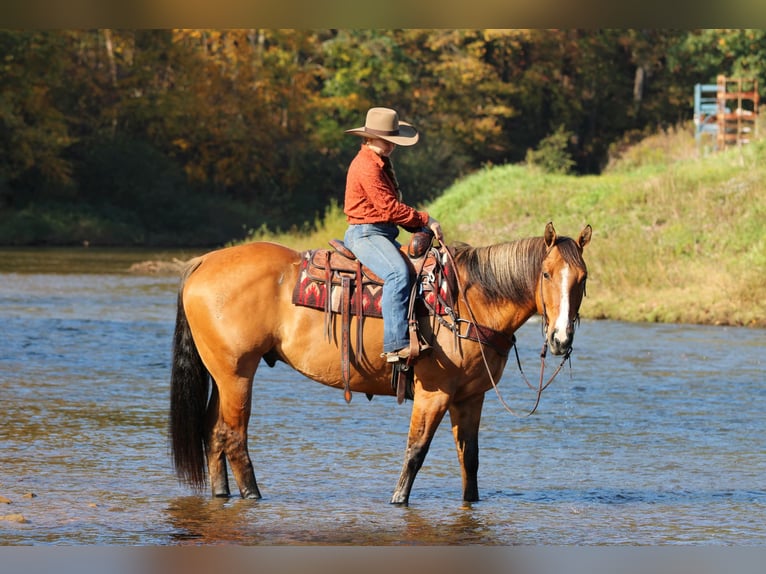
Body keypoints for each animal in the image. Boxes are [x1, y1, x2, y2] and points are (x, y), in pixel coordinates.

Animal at [169, 222, 592, 504]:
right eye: (546, 273)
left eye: (583, 279)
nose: (561, 340)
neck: (464, 302)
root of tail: (203, 262)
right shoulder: (434, 393)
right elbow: (415, 452)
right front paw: (398, 500)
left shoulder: (470, 398)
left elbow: (469, 459)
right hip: (238, 373)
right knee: (233, 436)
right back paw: (253, 495)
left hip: (221, 374)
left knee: (212, 432)